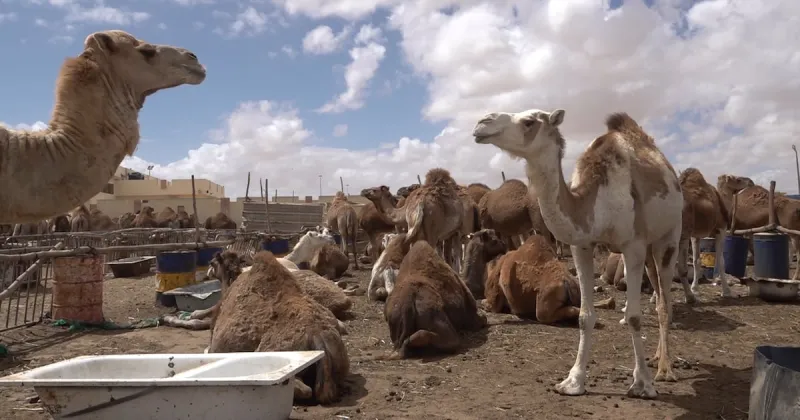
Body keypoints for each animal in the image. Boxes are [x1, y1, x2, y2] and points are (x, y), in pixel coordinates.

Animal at [474, 109, 682, 398]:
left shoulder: (633, 244)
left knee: (664, 302)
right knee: (659, 292)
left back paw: (665, 369)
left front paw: (642, 384)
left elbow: (634, 317)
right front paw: (573, 382)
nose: (482, 123)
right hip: (651, 248)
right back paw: (655, 358)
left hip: (669, 235)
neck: (597, 202)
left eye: (529, 121)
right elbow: (585, 316)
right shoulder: (581, 245)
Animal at [676, 168, 732, 299]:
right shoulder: (721, 229)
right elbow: (721, 261)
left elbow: (696, 261)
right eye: (738, 180)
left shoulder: (695, 235)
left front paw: (695, 289)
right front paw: (726, 291)